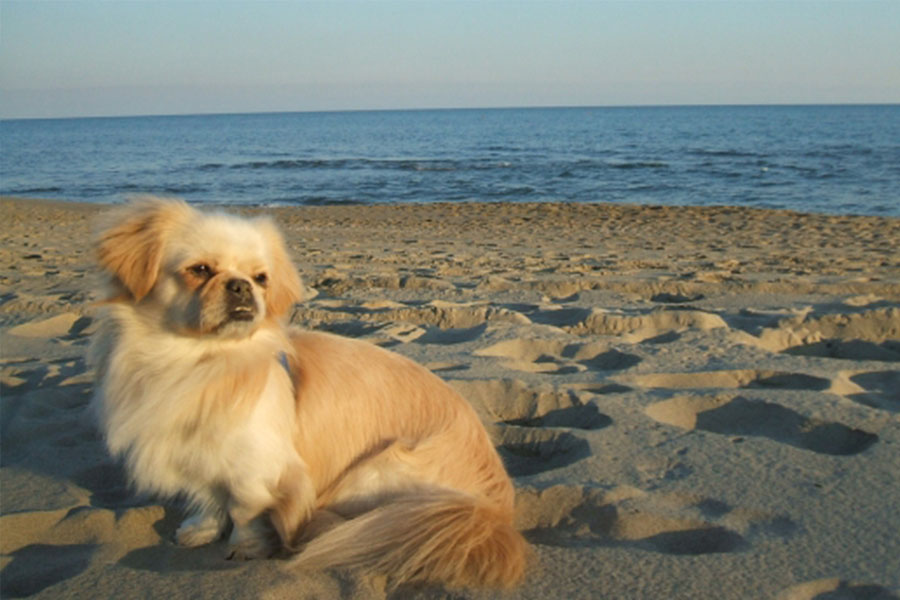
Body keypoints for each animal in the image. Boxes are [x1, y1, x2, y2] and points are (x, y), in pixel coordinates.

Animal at [87, 198, 528, 592]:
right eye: (199, 270)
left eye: (261, 278)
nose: (240, 286)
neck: (197, 361)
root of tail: (496, 510)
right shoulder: (194, 451)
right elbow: (207, 497)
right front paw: (201, 529)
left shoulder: (256, 465)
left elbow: (243, 509)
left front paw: (246, 547)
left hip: (375, 470)